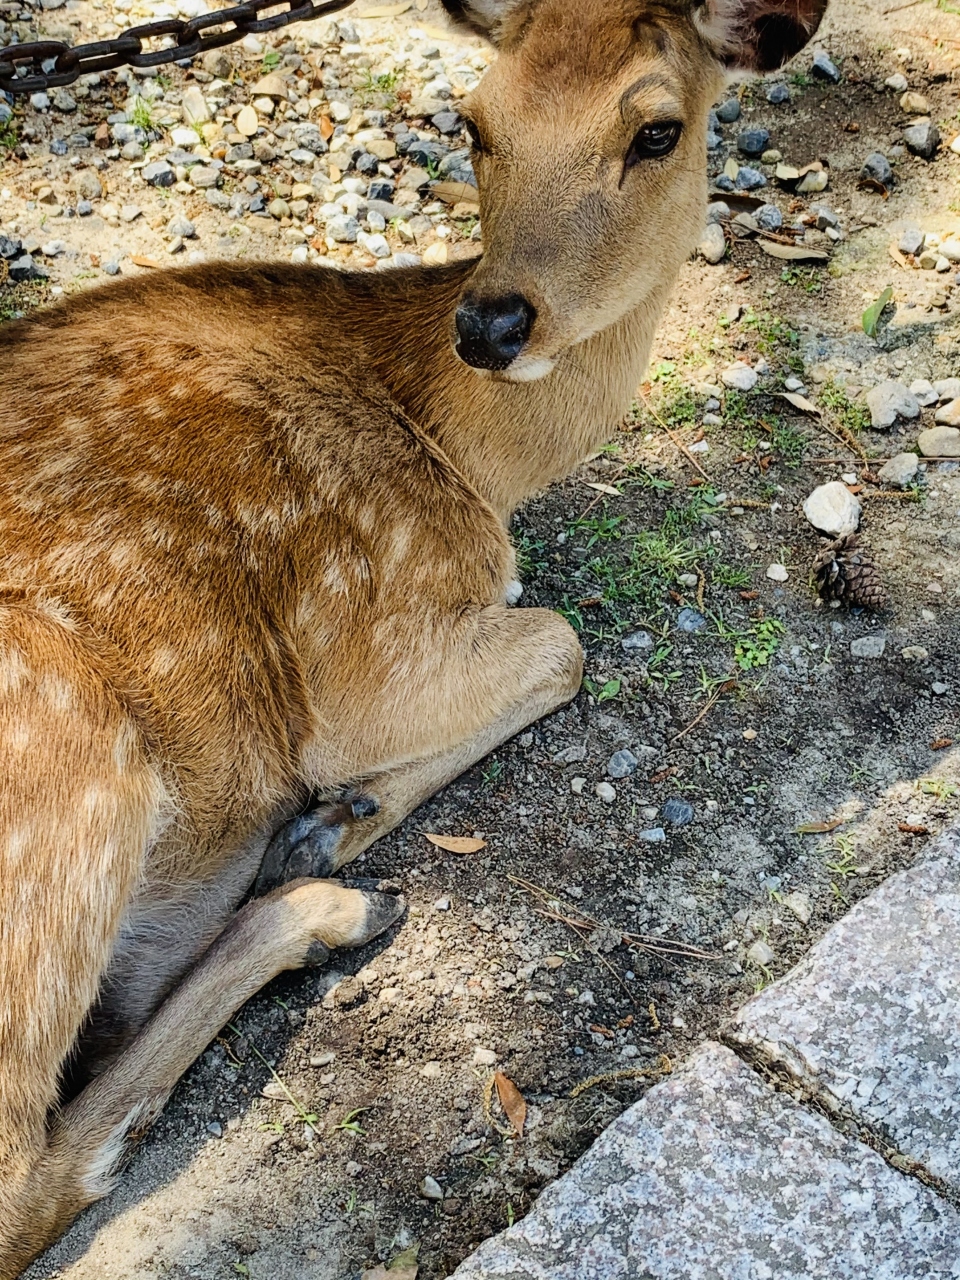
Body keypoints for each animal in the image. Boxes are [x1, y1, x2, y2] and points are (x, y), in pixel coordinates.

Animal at [0, 0, 827, 1272]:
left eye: (658, 129)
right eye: (473, 120)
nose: (491, 321)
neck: (477, 460)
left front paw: (338, 819)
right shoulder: (363, 638)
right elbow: (563, 640)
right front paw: (338, 814)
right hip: (66, 751)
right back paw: (323, 900)